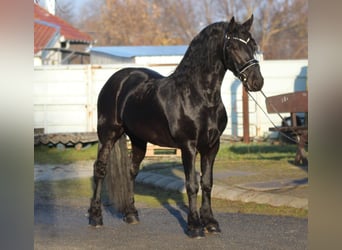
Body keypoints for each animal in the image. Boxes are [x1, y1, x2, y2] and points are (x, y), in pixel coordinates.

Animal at [89, 15, 264, 238]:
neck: (198, 96)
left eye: (252, 45)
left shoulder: (212, 146)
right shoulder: (188, 146)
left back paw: (131, 214)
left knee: (131, 171)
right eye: (232, 46)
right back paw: (95, 217)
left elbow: (207, 183)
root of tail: (118, 79)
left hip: (138, 140)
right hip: (108, 134)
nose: (257, 82)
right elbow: (192, 185)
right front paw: (195, 226)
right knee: (100, 169)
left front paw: (211, 223)